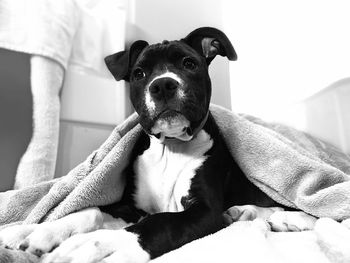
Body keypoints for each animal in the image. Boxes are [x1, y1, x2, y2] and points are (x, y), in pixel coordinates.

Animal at [0, 27, 318, 262]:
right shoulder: (132, 205)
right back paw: (247, 212)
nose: (163, 85)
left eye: (189, 64)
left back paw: (288, 219)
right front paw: (37, 231)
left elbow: (159, 222)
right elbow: (92, 210)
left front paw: (99, 243)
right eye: (139, 73)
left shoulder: (204, 211)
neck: (171, 148)